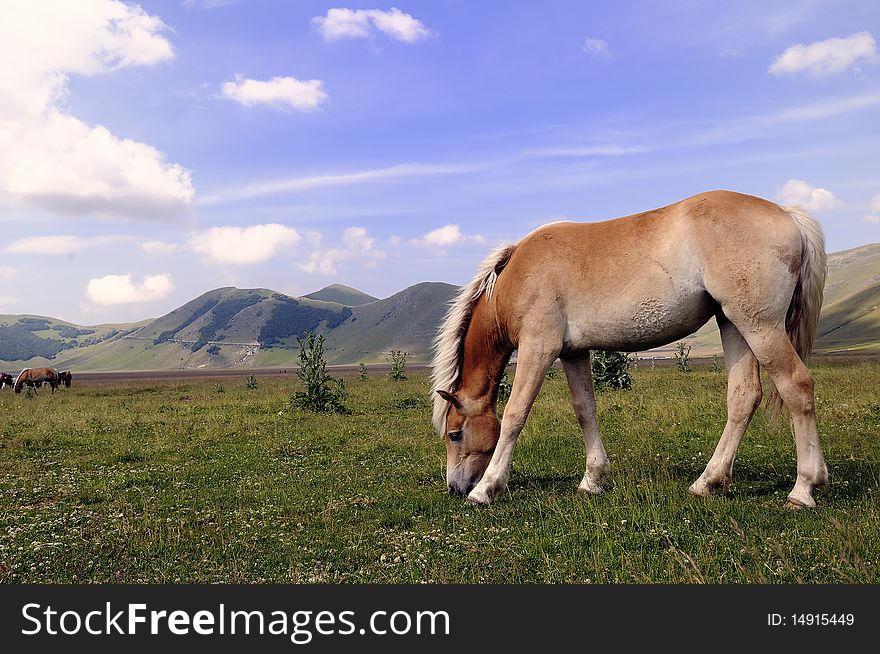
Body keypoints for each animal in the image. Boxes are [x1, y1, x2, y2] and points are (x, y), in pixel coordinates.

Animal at [434, 191, 832, 512]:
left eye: (454, 434)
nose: (454, 488)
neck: (514, 276)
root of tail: (787, 213)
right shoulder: (572, 353)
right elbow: (584, 410)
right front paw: (592, 480)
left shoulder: (539, 347)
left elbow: (515, 414)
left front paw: (486, 489)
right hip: (734, 324)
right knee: (743, 397)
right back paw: (707, 482)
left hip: (760, 326)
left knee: (797, 387)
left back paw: (803, 489)